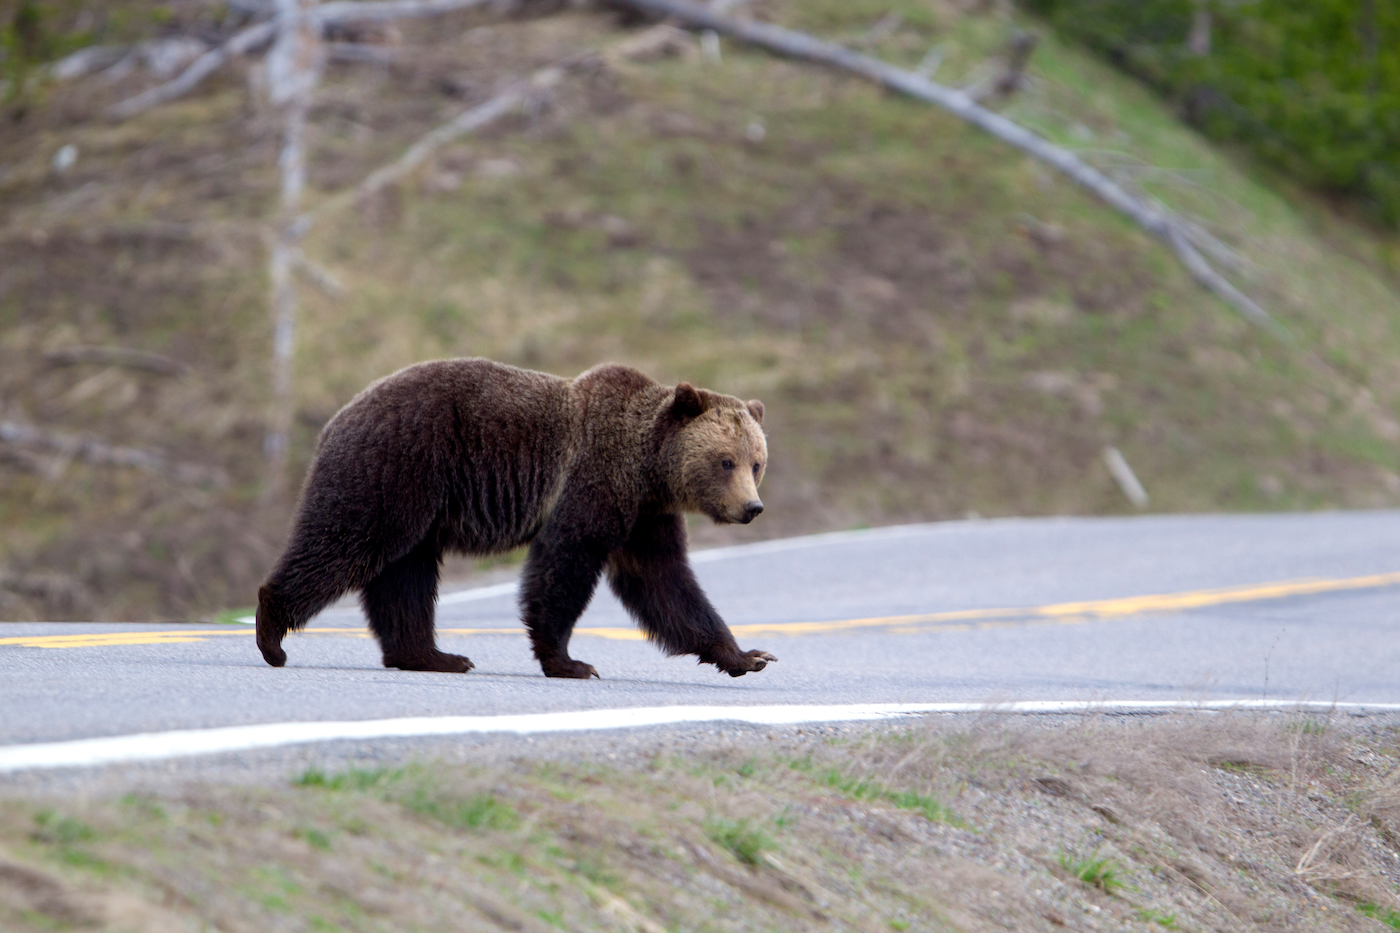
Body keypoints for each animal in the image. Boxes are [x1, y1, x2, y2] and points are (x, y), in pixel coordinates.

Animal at [254, 357, 778, 675]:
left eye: (756, 462)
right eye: (725, 461)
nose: (752, 507)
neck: (645, 467)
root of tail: (337, 417)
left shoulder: (644, 516)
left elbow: (665, 582)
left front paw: (748, 655)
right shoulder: (592, 483)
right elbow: (564, 563)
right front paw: (569, 662)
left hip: (417, 504)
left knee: (405, 577)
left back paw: (434, 655)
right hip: (396, 469)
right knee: (346, 541)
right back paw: (272, 633)